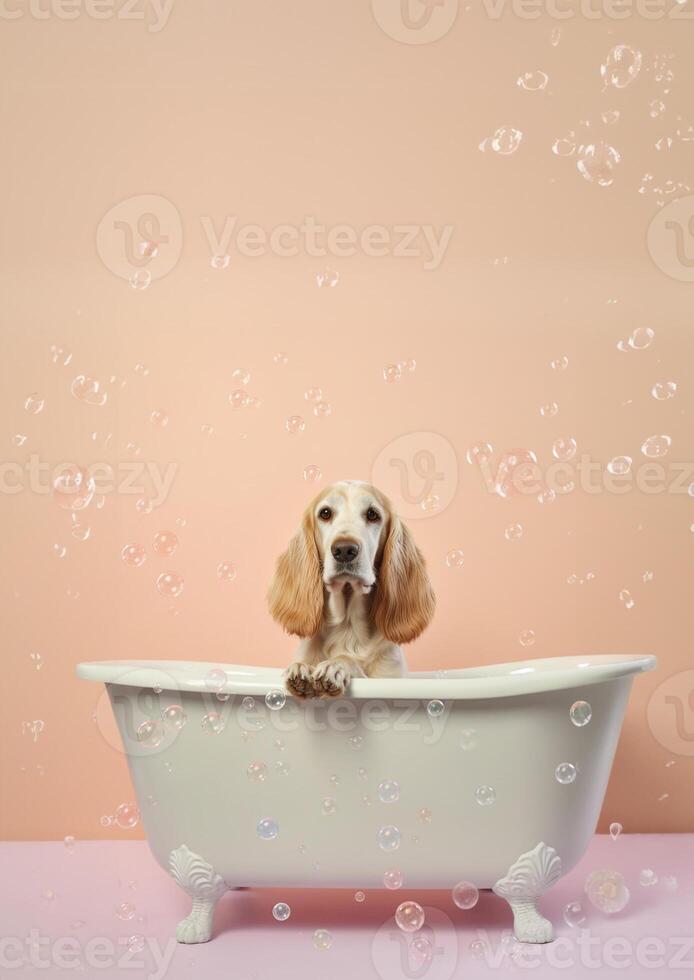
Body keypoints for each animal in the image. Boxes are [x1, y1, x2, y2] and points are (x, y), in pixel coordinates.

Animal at [268, 480, 436, 696]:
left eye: (372, 514)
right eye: (325, 513)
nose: (344, 550)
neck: (348, 627)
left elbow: (348, 660)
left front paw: (336, 665)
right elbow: (301, 664)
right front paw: (300, 669)